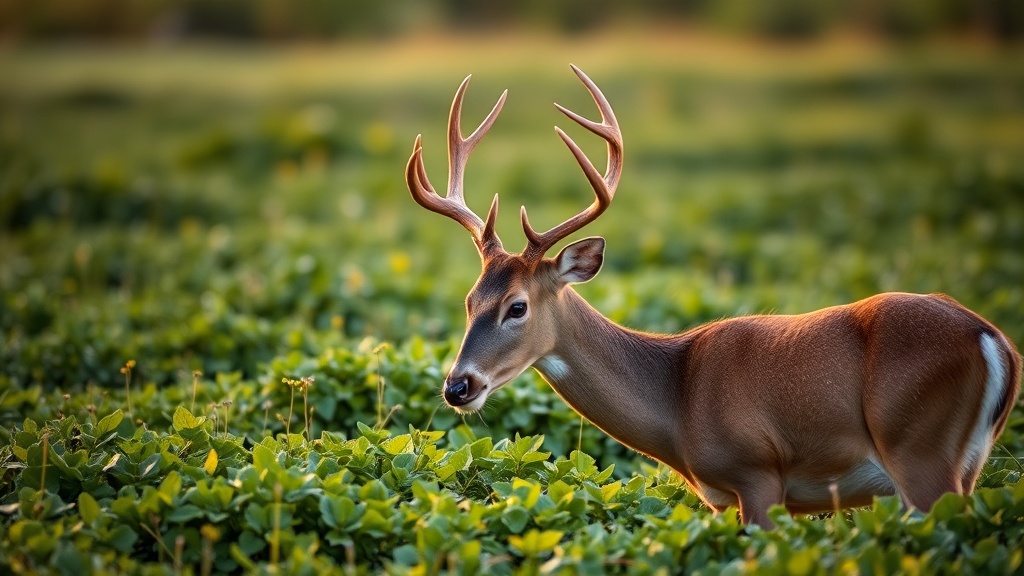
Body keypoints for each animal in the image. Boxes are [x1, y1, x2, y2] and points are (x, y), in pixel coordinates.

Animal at [404, 65, 1022, 527]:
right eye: (468, 300)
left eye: (518, 306)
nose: (458, 387)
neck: (678, 400)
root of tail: (995, 341)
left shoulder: (759, 474)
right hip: (961, 463)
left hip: (919, 452)